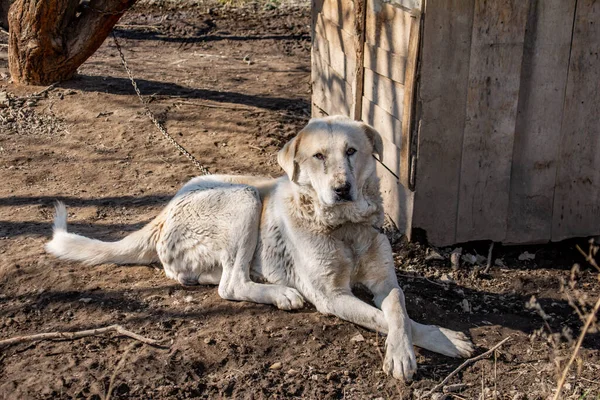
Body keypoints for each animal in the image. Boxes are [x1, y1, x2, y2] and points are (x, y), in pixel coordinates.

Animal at [47, 114, 474, 380]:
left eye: (352, 152)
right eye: (318, 156)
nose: (342, 189)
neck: (344, 227)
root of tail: (165, 209)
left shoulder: (386, 281)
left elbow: (398, 309)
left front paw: (434, 340)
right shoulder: (331, 297)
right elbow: (384, 319)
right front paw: (420, 349)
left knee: (208, 277)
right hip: (245, 197)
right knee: (230, 285)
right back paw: (280, 293)